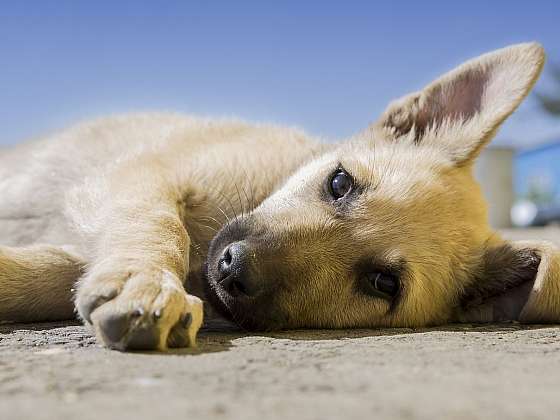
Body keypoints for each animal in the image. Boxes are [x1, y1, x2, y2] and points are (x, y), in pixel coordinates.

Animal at [0, 43, 556, 352]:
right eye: (339, 183)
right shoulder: (139, 175)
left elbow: (49, 274)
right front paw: (147, 282)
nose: (232, 267)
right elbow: (159, 224)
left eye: (383, 283)